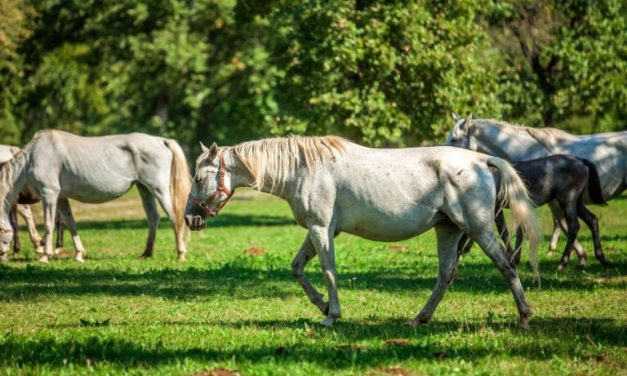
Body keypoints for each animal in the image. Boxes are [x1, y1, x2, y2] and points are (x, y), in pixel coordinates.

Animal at [0, 131, 191, 262]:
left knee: (175, 217)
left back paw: (181, 254)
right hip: (144, 189)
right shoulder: (61, 198)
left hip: (159, 189)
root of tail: (160, 140)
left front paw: (45, 255)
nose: (2, 258)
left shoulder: (49, 195)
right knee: (153, 218)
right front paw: (79, 254)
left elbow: (48, 225)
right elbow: (71, 223)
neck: (34, 155)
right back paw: (146, 253)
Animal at [183, 137, 540, 328]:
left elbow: (328, 271)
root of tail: (483, 160)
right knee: (445, 276)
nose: (189, 219)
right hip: (448, 230)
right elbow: (297, 268)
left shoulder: (321, 230)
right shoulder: (316, 230)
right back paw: (418, 319)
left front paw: (331, 316)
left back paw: (523, 318)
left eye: (199, 178)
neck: (304, 168)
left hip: (478, 228)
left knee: (506, 266)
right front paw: (322, 306)